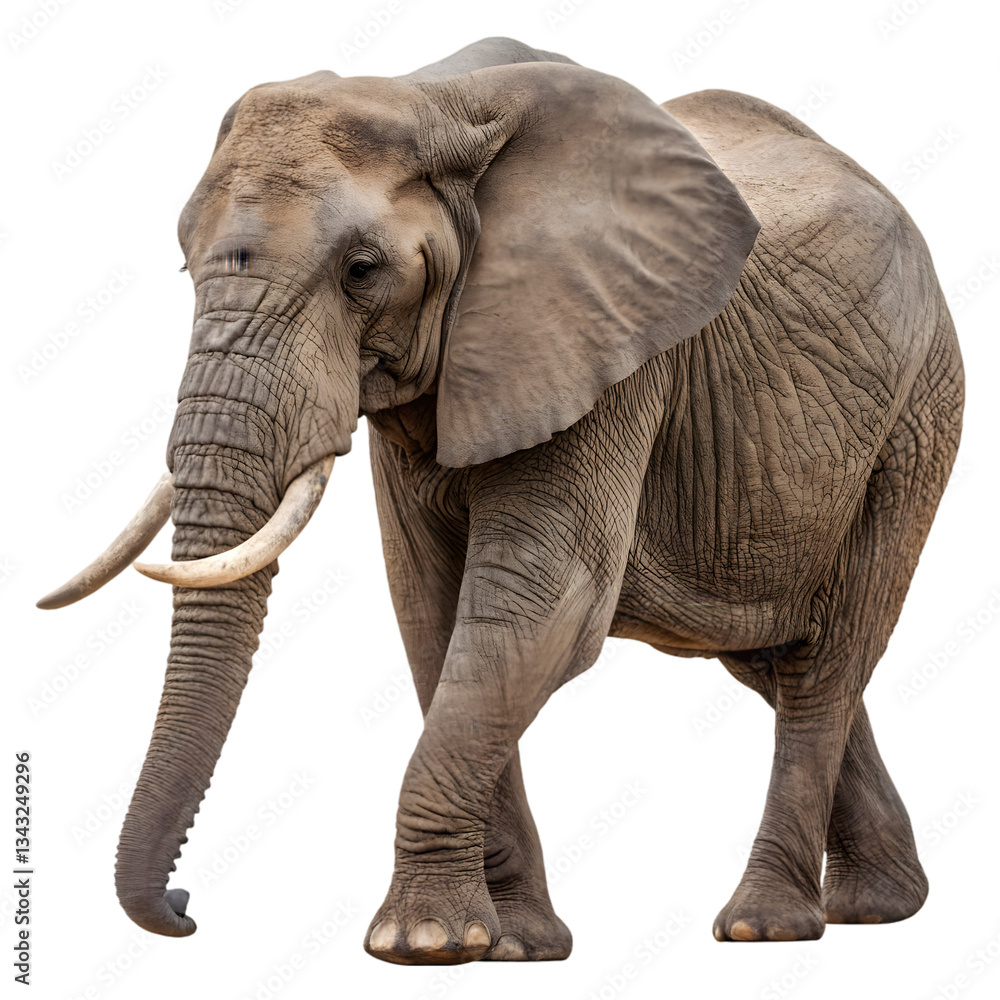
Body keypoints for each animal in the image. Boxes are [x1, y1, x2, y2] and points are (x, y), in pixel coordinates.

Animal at [38, 36, 964, 965]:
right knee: (775, 652)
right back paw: (881, 905)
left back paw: (764, 924)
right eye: (185, 262)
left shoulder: (606, 349)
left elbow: (539, 602)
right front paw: (513, 943)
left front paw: (421, 943)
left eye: (362, 271)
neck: (433, 99)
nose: (184, 906)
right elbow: (434, 613)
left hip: (917, 418)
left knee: (832, 653)